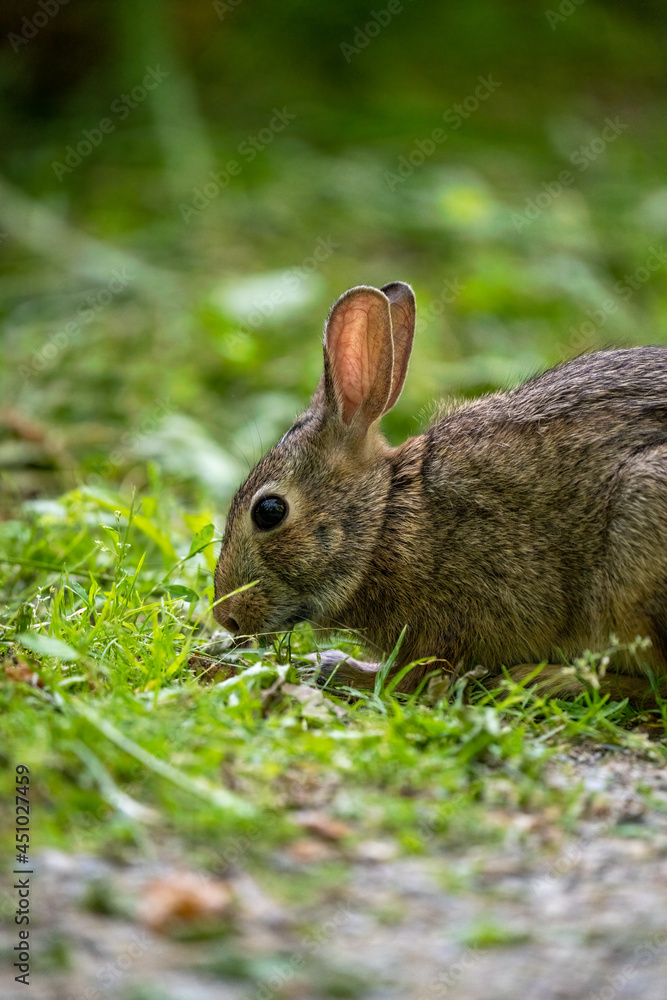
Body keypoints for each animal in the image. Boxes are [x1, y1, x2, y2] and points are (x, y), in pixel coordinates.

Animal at [214, 281, 667, 700]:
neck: (384, 521)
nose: (225, 616)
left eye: (270, 511)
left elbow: (412, 679)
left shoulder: (447, 627)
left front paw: (335, 668)